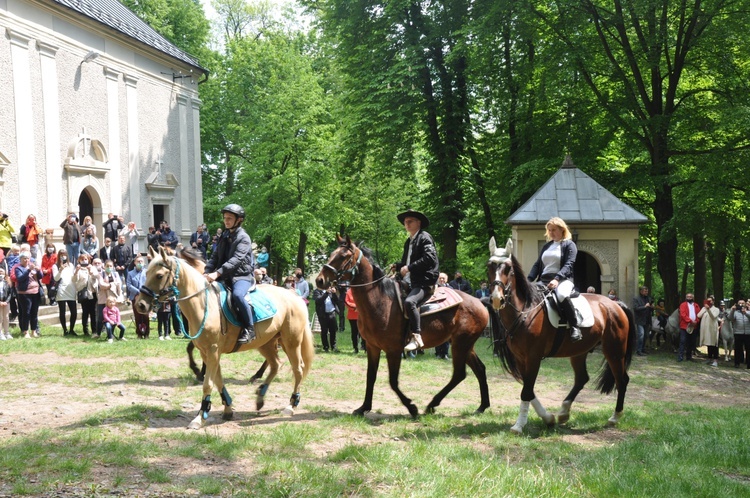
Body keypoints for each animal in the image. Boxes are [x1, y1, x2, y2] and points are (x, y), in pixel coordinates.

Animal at [135, 247, 314, 430]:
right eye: (147, 272)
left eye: (159, 275)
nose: (140, 305)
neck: (204, 304)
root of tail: (295, 297)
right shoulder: (206, 352)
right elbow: (218, 379)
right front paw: (227, 408)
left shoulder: (213, 350)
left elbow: (208, 383)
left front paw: (200, 417)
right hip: (266, 343)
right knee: (276, 364)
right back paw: (260, 398)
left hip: (291, 343)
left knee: (298, 370)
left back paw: (291, 406)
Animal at [318, 235, 494, 418]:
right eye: (332, 254)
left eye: (343, 256)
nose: (319, 280)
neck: (380, 301)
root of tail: (479, 302)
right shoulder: (372, 346)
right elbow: (371, 377)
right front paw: (363, 407)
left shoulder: (393, 350)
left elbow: (393, 382)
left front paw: (411, 407)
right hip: (464, 345)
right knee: (479, 369)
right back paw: (481, 406)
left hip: (461, 344)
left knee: (459, 374)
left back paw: (433, 404)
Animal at [488, 237, 636, 432]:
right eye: (489, 266)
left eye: (508, 269)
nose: (496, 299)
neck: (525, 310)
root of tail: (615, 304)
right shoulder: (520, 358)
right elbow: (528, 389)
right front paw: (548, 418)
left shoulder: (533, 357)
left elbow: (527, 390)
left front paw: (519, 425)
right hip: (580, 352)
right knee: (582, 378)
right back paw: (564, 412)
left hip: (614, 351)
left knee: (622, 380)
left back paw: (614, 417)